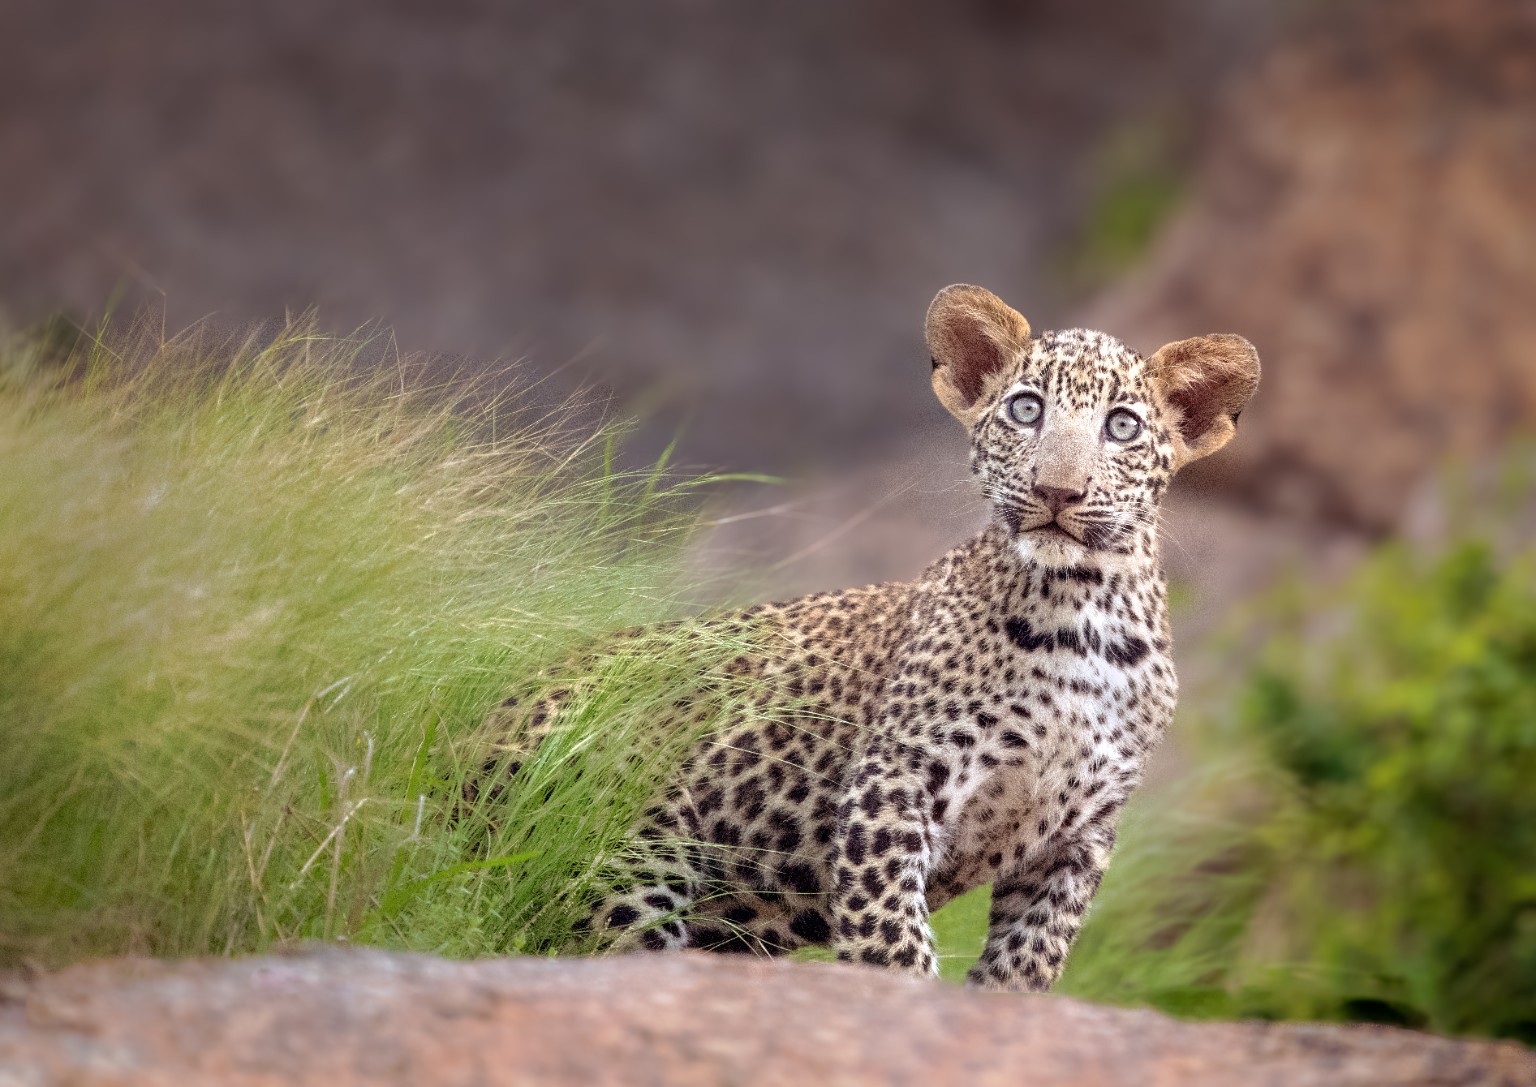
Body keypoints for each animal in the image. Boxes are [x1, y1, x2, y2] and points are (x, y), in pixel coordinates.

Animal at [477, 284, 1260, 991]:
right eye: (1026, 409)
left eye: (1121, 427)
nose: (1057, 491)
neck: (1084, 614)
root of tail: (486, 720)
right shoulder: (895, 784)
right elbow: (892, 943)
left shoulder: (1077, 838)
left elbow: (1026, 964)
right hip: (628, 854)